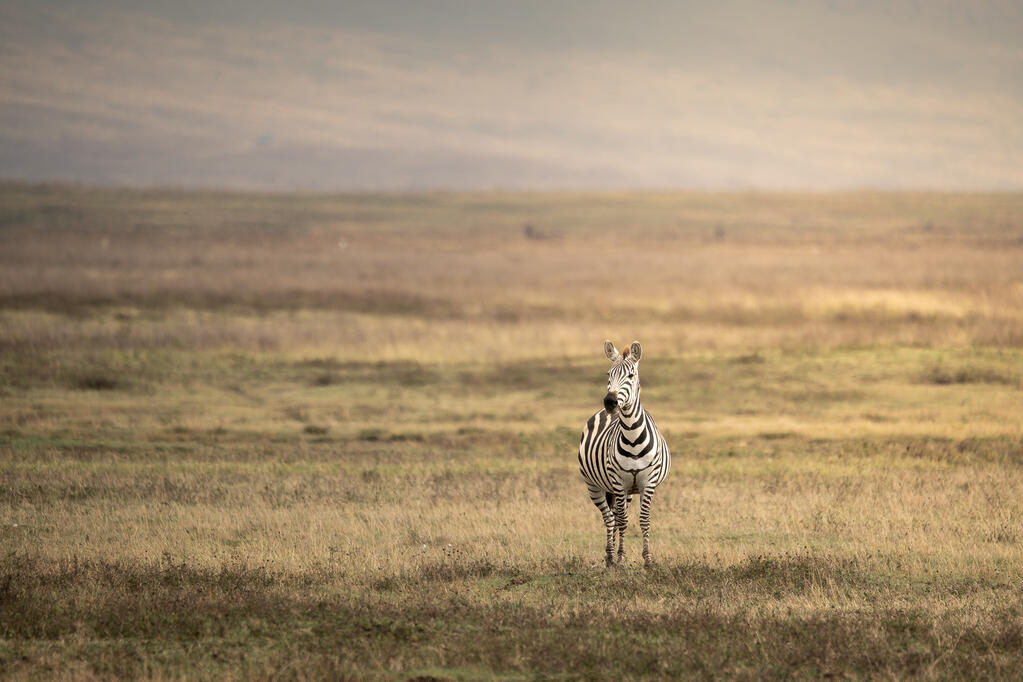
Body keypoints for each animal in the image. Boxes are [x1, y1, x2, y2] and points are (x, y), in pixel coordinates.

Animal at [578, 340, 670, 567]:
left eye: (630, 375)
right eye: (608, 374)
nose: (610, 402)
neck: (632, 436)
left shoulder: (647, 483)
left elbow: (643, 520)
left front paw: (648, 560)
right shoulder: (618, 482)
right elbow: (622, 520)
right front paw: (620, 558)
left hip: (627, 491)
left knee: (616, 515)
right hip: (594, 486)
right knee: (610, 518)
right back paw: (610, 557)